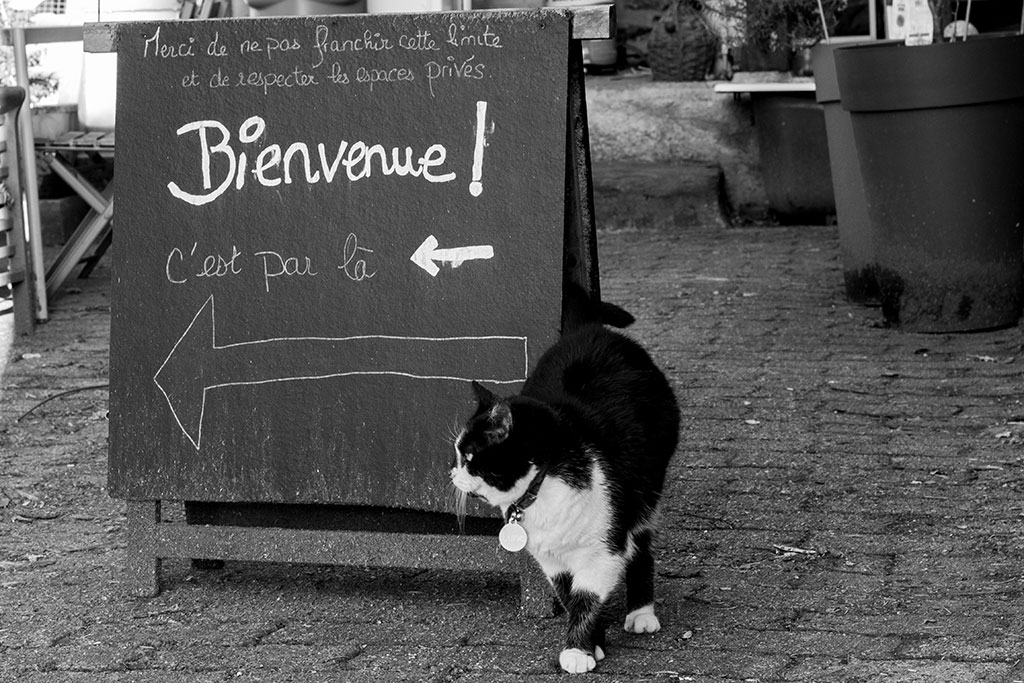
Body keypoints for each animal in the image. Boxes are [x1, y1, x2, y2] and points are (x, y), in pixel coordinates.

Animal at [450, 296, 679, 671]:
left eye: (468, 456)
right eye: (457, 454)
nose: (452, 474)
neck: (542, 486)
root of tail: (590, 329)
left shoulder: (603, 549)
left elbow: (587, 599)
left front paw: (577, 651)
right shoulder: (551, 559)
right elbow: (570, 596)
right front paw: (594, 644)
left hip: (646, 490)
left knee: (641, 543)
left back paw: (641, 613)